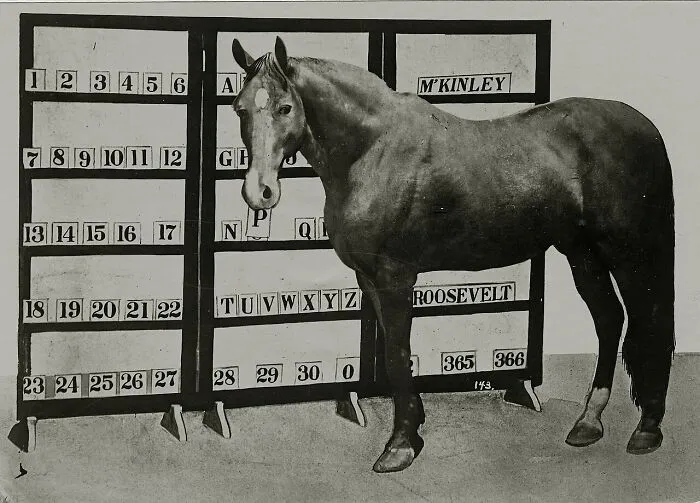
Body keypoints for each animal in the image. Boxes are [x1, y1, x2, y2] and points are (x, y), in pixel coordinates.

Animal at [230, 36, 675, 473]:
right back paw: (588, 422)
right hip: (582, 252)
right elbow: (393, 351)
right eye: (240, 108)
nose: (259, 192)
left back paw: (647, 429)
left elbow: (397, 354)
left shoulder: (395, 277)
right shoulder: (368, 277)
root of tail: (646, 127)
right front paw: (413, 427)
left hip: (630, 252)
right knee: (609, 319)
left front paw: (400, 445)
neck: (373, 150)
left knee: (648, 319)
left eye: (285, 107)